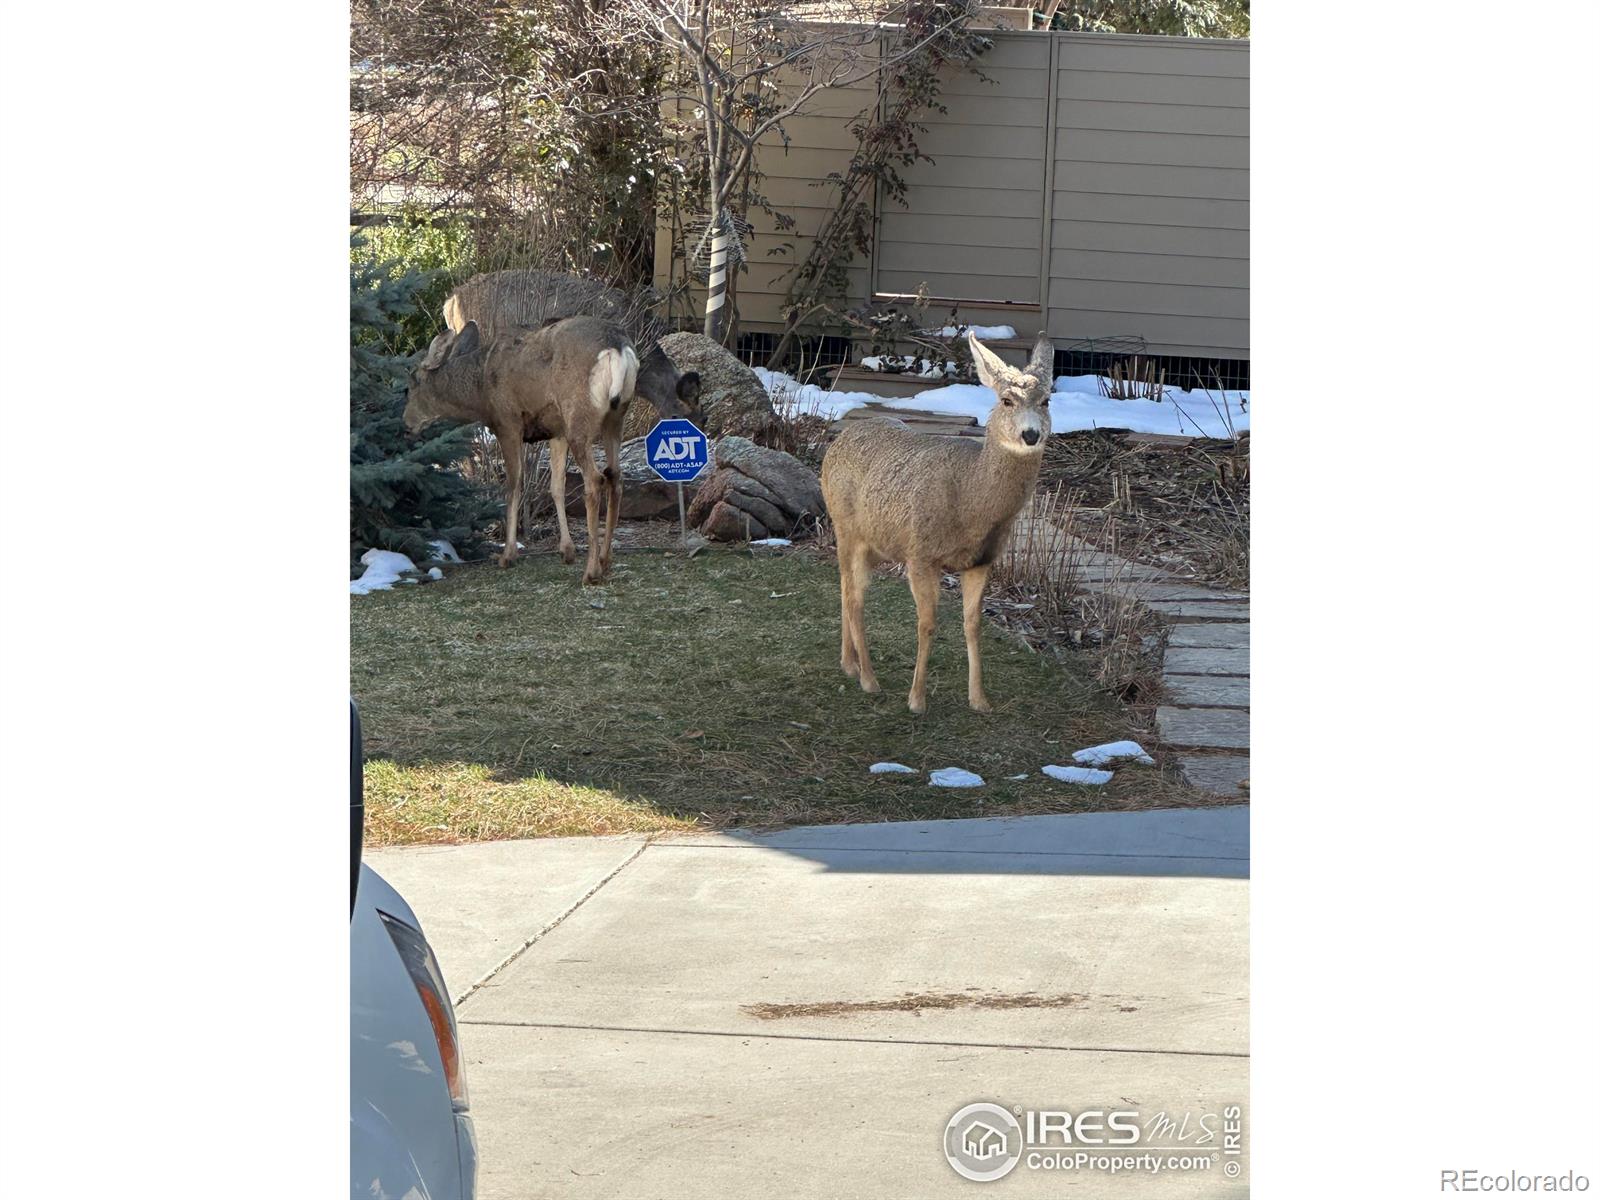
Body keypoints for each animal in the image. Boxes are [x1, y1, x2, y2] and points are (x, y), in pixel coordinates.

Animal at [400, 316, 700, 585]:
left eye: (410, 384)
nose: (406, 426)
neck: (481, 391)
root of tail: (618, 348)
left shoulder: (508, 422)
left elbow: (514, 486)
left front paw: (508, 555)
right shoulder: (556, 431)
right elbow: (557, 486)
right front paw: (566, 550)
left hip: (579, 414)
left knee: (595, 479)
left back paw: (591, 572)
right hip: (615, 416)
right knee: (615, 476)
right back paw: (605, 561)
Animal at [819, 331, 1056, 713]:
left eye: (1046, 400)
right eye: (1006, 400)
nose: (1031, 434)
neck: (970, 503)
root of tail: (837, 442)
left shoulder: (981, 561)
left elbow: (973, 624)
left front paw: (979, 699)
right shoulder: (920, 553)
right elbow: (927, 623)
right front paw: (917, 700)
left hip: (874, 542)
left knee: (845, 587)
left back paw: (849, 664)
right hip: (846, 525)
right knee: (855, 597)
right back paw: (869, 680)